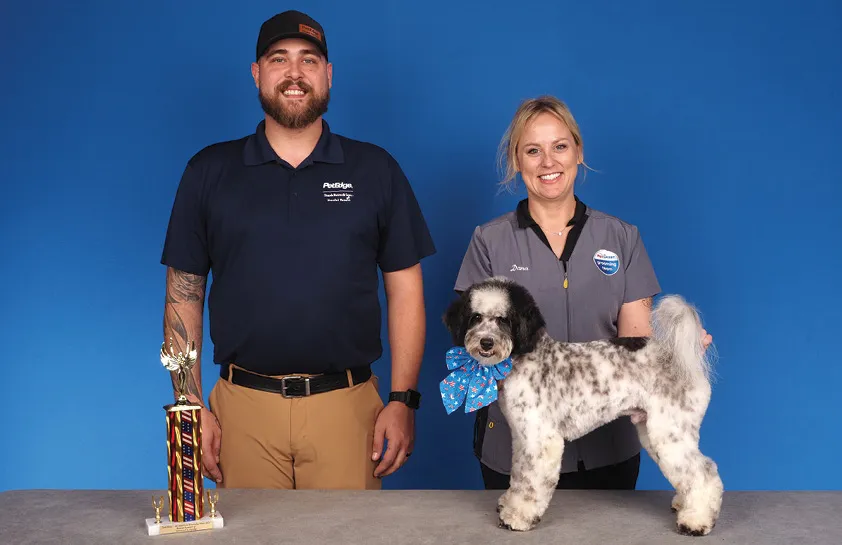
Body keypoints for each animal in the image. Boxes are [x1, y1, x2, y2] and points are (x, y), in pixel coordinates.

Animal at [446, 276, 720, 536]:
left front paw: (518, 516)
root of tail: (681, 358)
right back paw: (685, 505)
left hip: (670, 433)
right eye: (476, 317)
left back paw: (696, 520)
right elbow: (518, 476)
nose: (486, 342)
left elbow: (530, 484)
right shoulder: (522, 438)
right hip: (654, 432)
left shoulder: (540, 439)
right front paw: (509, 504)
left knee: (704, 472)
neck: (528, 357)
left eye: (504, 319)